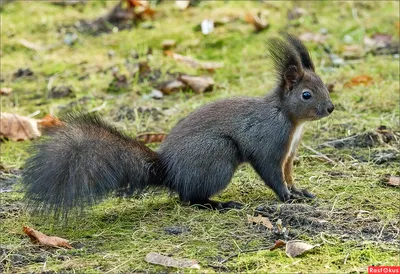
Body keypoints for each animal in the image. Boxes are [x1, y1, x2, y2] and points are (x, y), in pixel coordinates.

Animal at [21, 33, 334, 218]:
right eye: (306, 95)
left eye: (324, 85)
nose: (330, 108)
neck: (289, 119)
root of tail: (169, 171)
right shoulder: (268, 142)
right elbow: (271, 172)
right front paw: (287, 198)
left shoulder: (289, 154)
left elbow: (288, 174)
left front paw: (299, 192)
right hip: (217, 154)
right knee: (190, 197)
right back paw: (218, 204)